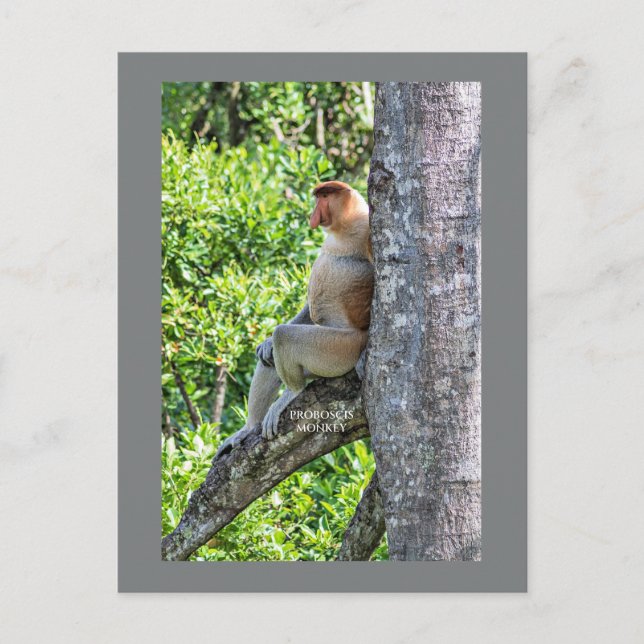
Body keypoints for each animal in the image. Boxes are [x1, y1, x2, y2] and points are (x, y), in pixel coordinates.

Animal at [215, 180, 373, 458]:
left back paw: (291, 393)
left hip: (339, 349)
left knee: (284, 337)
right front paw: (265, 343)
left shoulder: (368, 231)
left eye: (324, 196)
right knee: (270, 359)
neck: (344, 227)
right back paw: (248, 427)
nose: (314, 215)